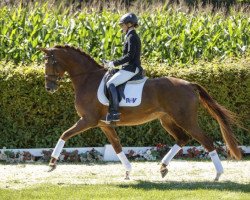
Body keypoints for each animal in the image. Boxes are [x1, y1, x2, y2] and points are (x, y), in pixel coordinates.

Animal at [40, 45, 241, 181]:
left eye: (50, 63)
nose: (49, 88)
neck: (88, 79)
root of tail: (189, 84)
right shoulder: (104, 125)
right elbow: (117, 146)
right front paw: (128, 171)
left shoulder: (87, 120)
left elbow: (64, 135)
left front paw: (52, 163)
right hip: (166, 120)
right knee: (182, 139)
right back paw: (163, 167)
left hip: (185, 119)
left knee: (206, 141)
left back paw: (218, 174)